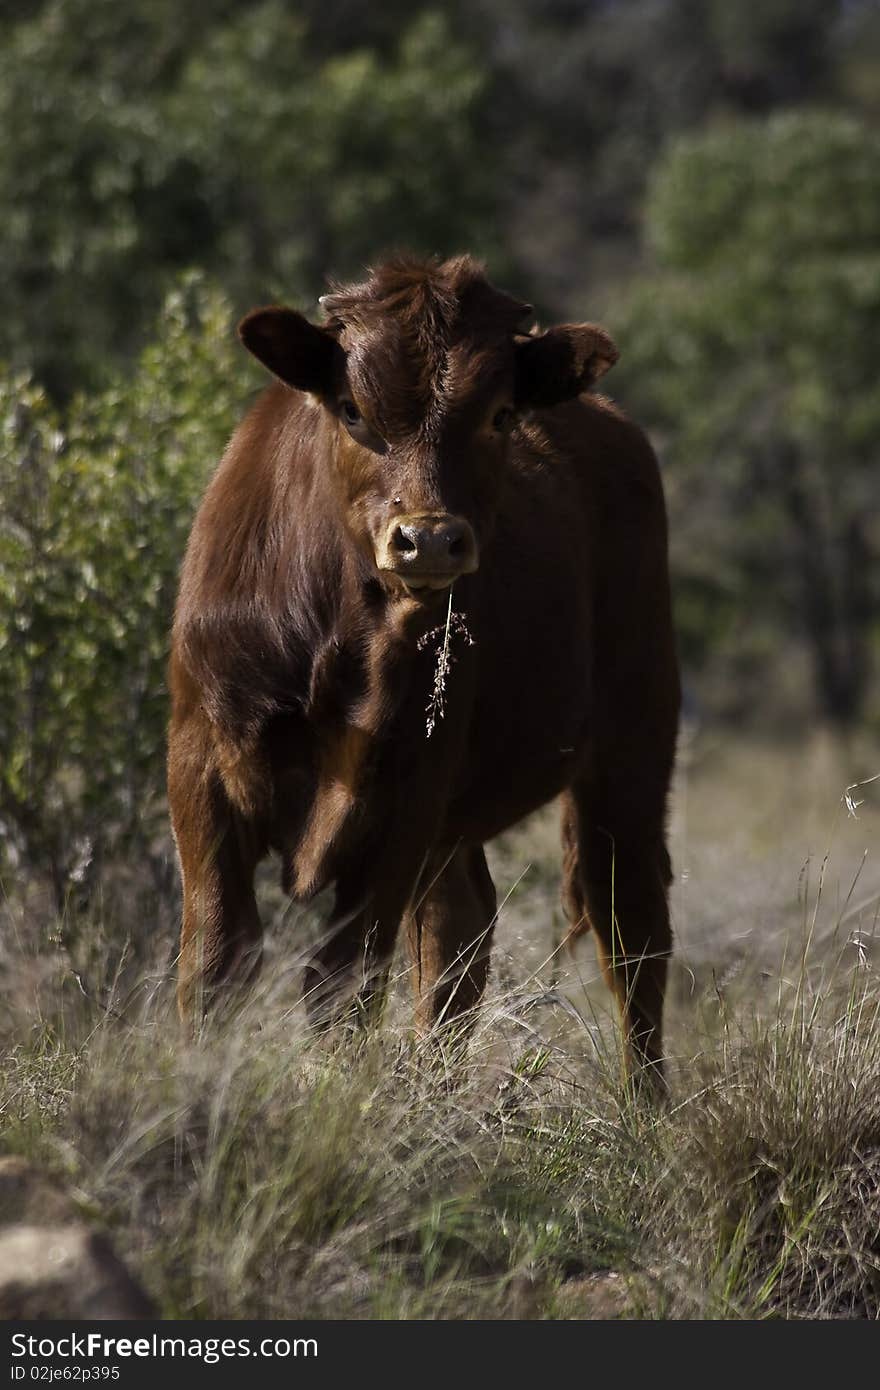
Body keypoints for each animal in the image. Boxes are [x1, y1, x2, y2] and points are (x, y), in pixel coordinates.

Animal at [171, 258, 678, 1084]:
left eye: (499, 415)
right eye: (352, 409)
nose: (430, 539)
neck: (344, 641)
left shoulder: (402, 797)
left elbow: (344, 982)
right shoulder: (202, 767)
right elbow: (215, 962)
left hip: (633, 743)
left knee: (631, 930)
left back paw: (646, 1105)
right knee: (460, 933)